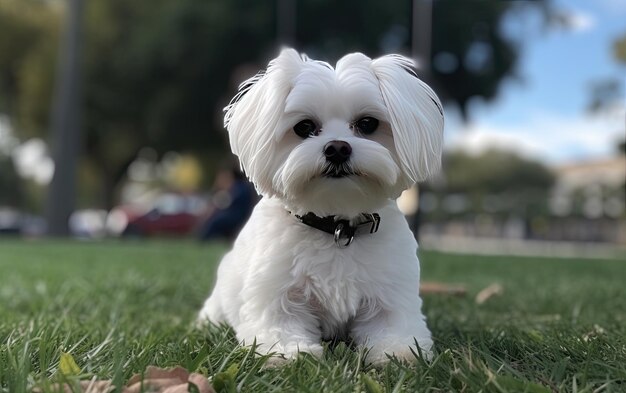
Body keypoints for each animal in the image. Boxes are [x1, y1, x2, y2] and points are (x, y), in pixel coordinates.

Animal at [197, 48, 442, 364]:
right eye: (304, 127)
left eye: (367, 124)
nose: (337, 148)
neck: (336, 226)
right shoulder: (277, 293)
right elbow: (280, 325)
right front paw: (290, 352)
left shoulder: (390, 292)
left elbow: (392, 326)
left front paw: (398, 351)